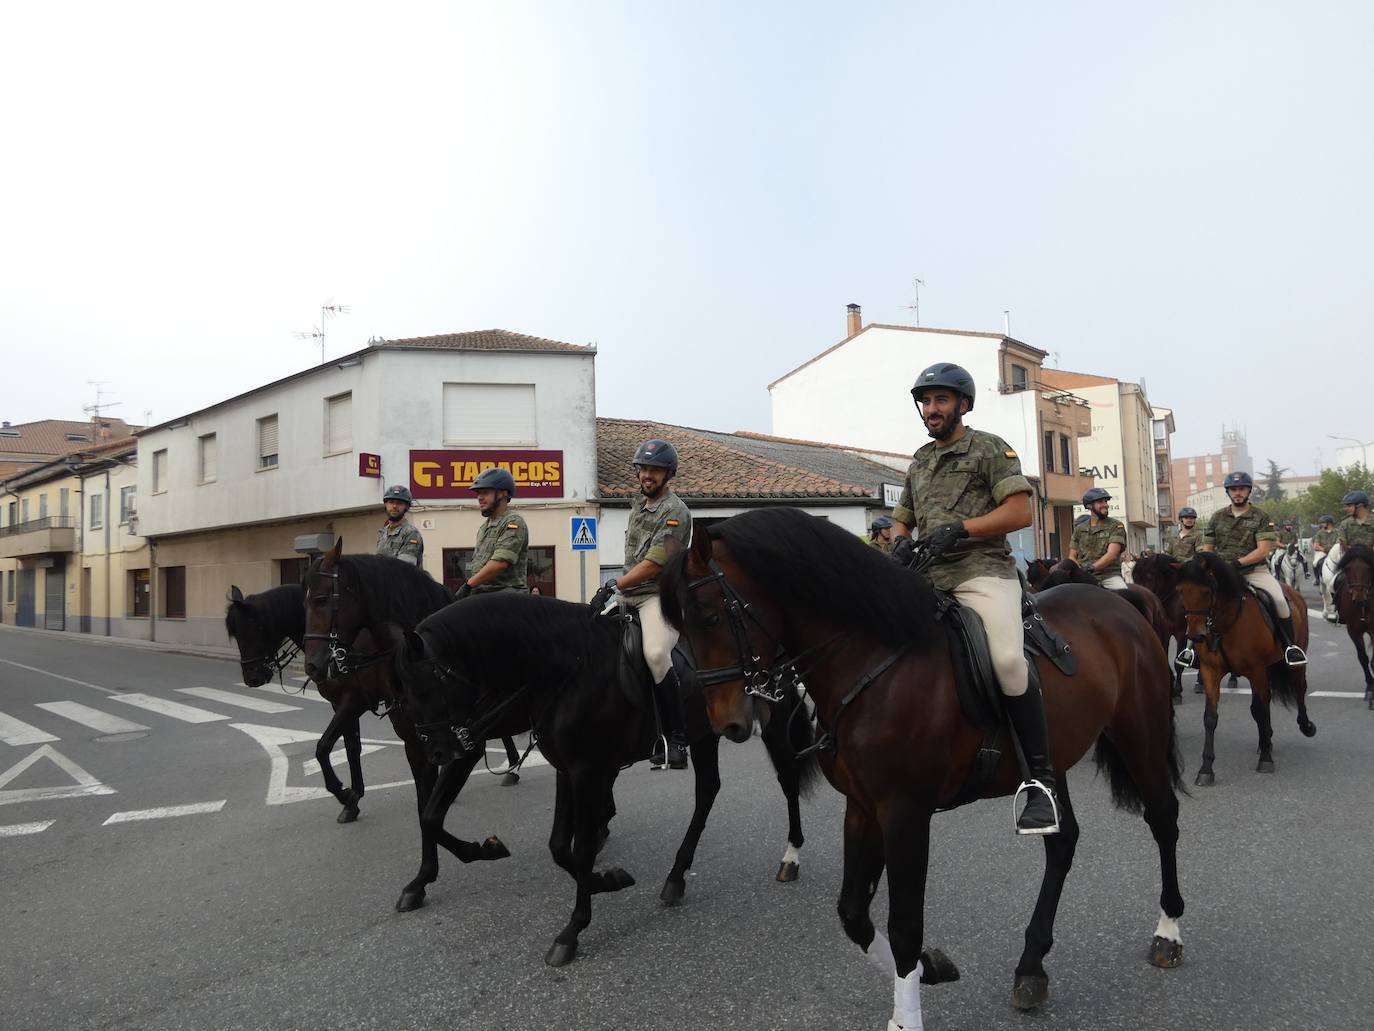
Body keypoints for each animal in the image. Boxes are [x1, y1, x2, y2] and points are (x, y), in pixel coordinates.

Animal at [390, 593, 813, 973]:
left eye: (432, 685)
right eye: (404, 692)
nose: (438, 752)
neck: (571, 669)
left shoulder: (589, 771)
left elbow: (580, 849)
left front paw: (573, 929)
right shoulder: (568, 770)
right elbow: (560, 847)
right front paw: (606, 880)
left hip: (772, 722)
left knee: (787, 778)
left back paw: (790, 856)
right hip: (706, 734)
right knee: (708, 790)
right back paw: (676, 877)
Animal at [659, 511, 1187, 1028]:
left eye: (708, 617)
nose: (725, 722)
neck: (873, 661)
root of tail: (1118, 604)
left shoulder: (905, 813)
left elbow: (904, 925)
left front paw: (906, 1014)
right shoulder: (863, 808)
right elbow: (854, 913)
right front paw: (930, 967)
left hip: (1139, 736)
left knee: (1163, 819)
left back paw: (1168, 933)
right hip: (1052, 762)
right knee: (1061, 842)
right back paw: (1031, 967)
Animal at [1176, 558, 1313, 780]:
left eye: (1206, 591)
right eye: (1180, 591)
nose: (1195, 635)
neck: (1226, 624)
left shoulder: (1255, 670)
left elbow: (1258, 710)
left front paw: (1265, 759)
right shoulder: (1210, 671)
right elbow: (1210, 718)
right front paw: (1206, 769)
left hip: (1294, 662)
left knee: (1299, 689)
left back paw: (1305, 726)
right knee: (1267, 698)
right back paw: (1267, 739)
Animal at [1330, 544, 1374, 709]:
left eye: (1368, 568)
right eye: (1347, 568)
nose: (1359, 597)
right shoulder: (1353, 630)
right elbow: (1363, 658)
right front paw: (1370, 690)